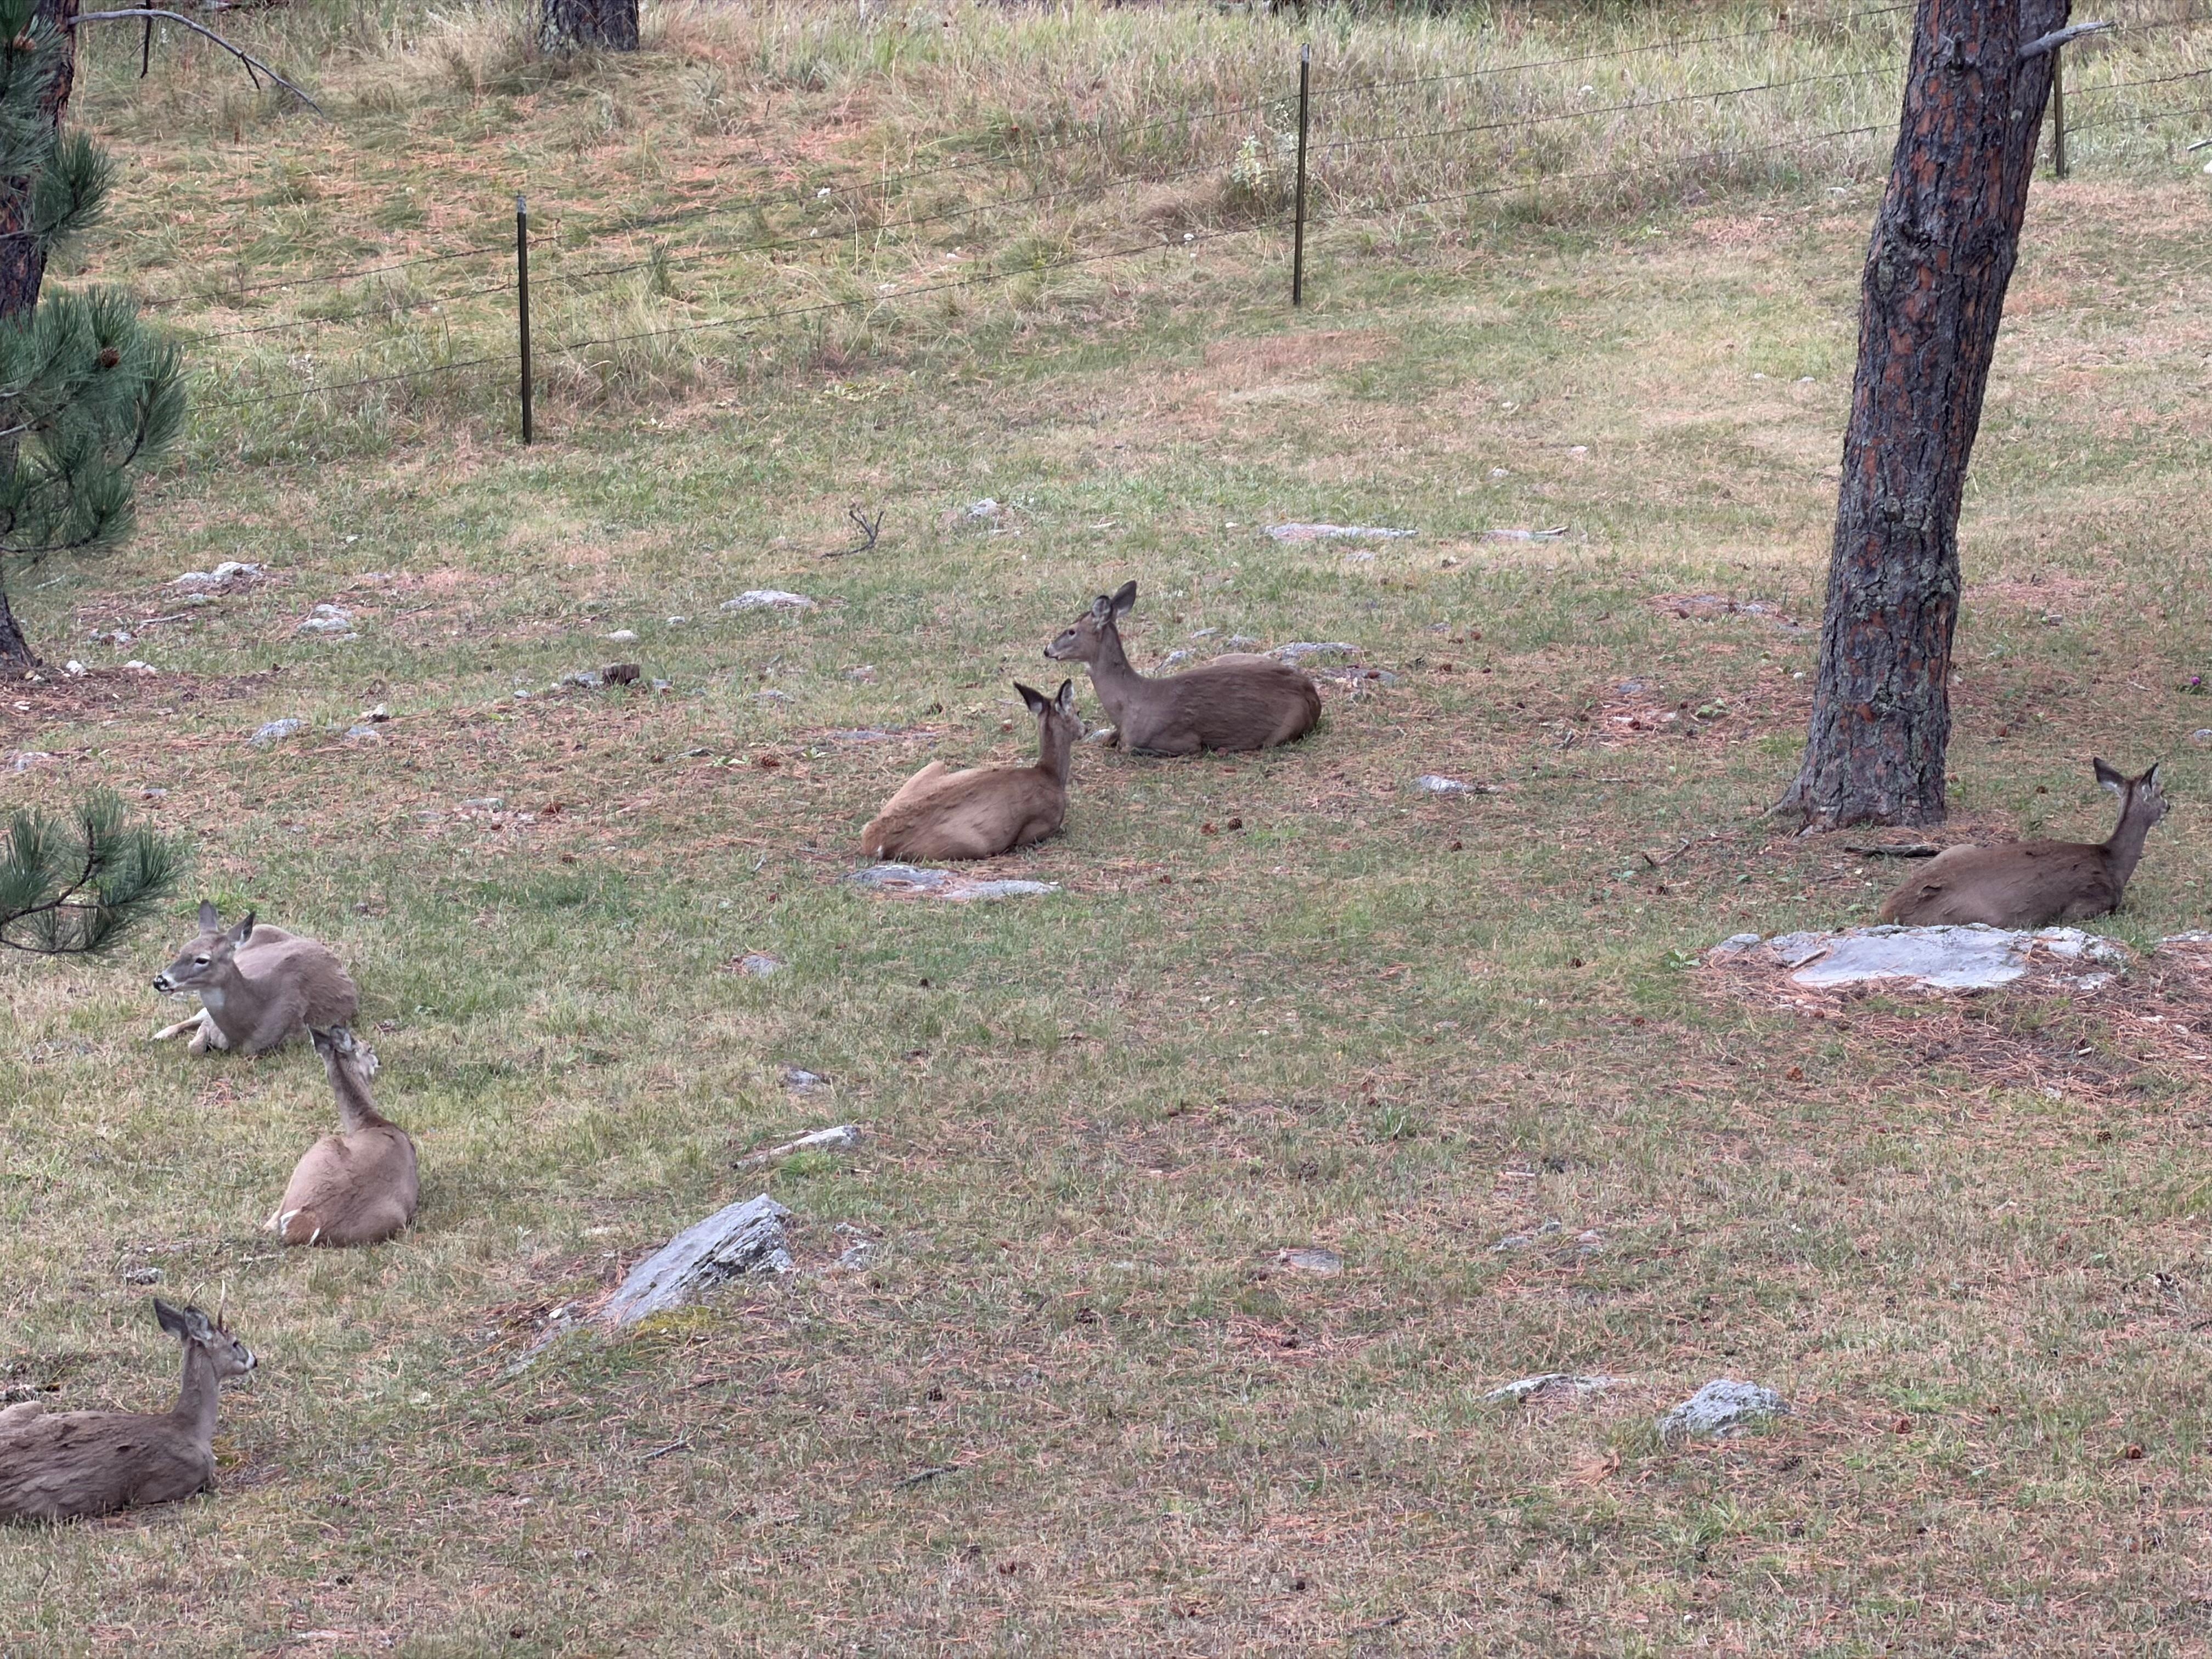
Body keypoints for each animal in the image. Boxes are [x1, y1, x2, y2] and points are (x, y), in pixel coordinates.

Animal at [151, 901, 360, 1061]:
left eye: (202, 959)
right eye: (182, 950)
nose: (160, 981)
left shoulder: (294, 1033)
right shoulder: (210, 1023)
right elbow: (194, 1046)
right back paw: (159, 1035)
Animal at [861, 681, 1080, 861]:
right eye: (1078, 712)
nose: (1085, 729)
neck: (1050, 775)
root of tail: (873, 842)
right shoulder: (1039, 827)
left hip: (935, 765)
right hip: (973, 846)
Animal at [1045, 580, 1321, 755]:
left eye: (1071, 631)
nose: (1047, 649)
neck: (1130, 704)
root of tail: (1312, 696)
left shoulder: (1182, 740)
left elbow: (1129, 748)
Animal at [1878, 759, 2168, 930]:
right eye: (2161, 792)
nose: (2168, 806)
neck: (2113, 864)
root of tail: (1889, 910)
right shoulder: (2084, 907)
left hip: (1958, 849)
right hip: (1984, 917)